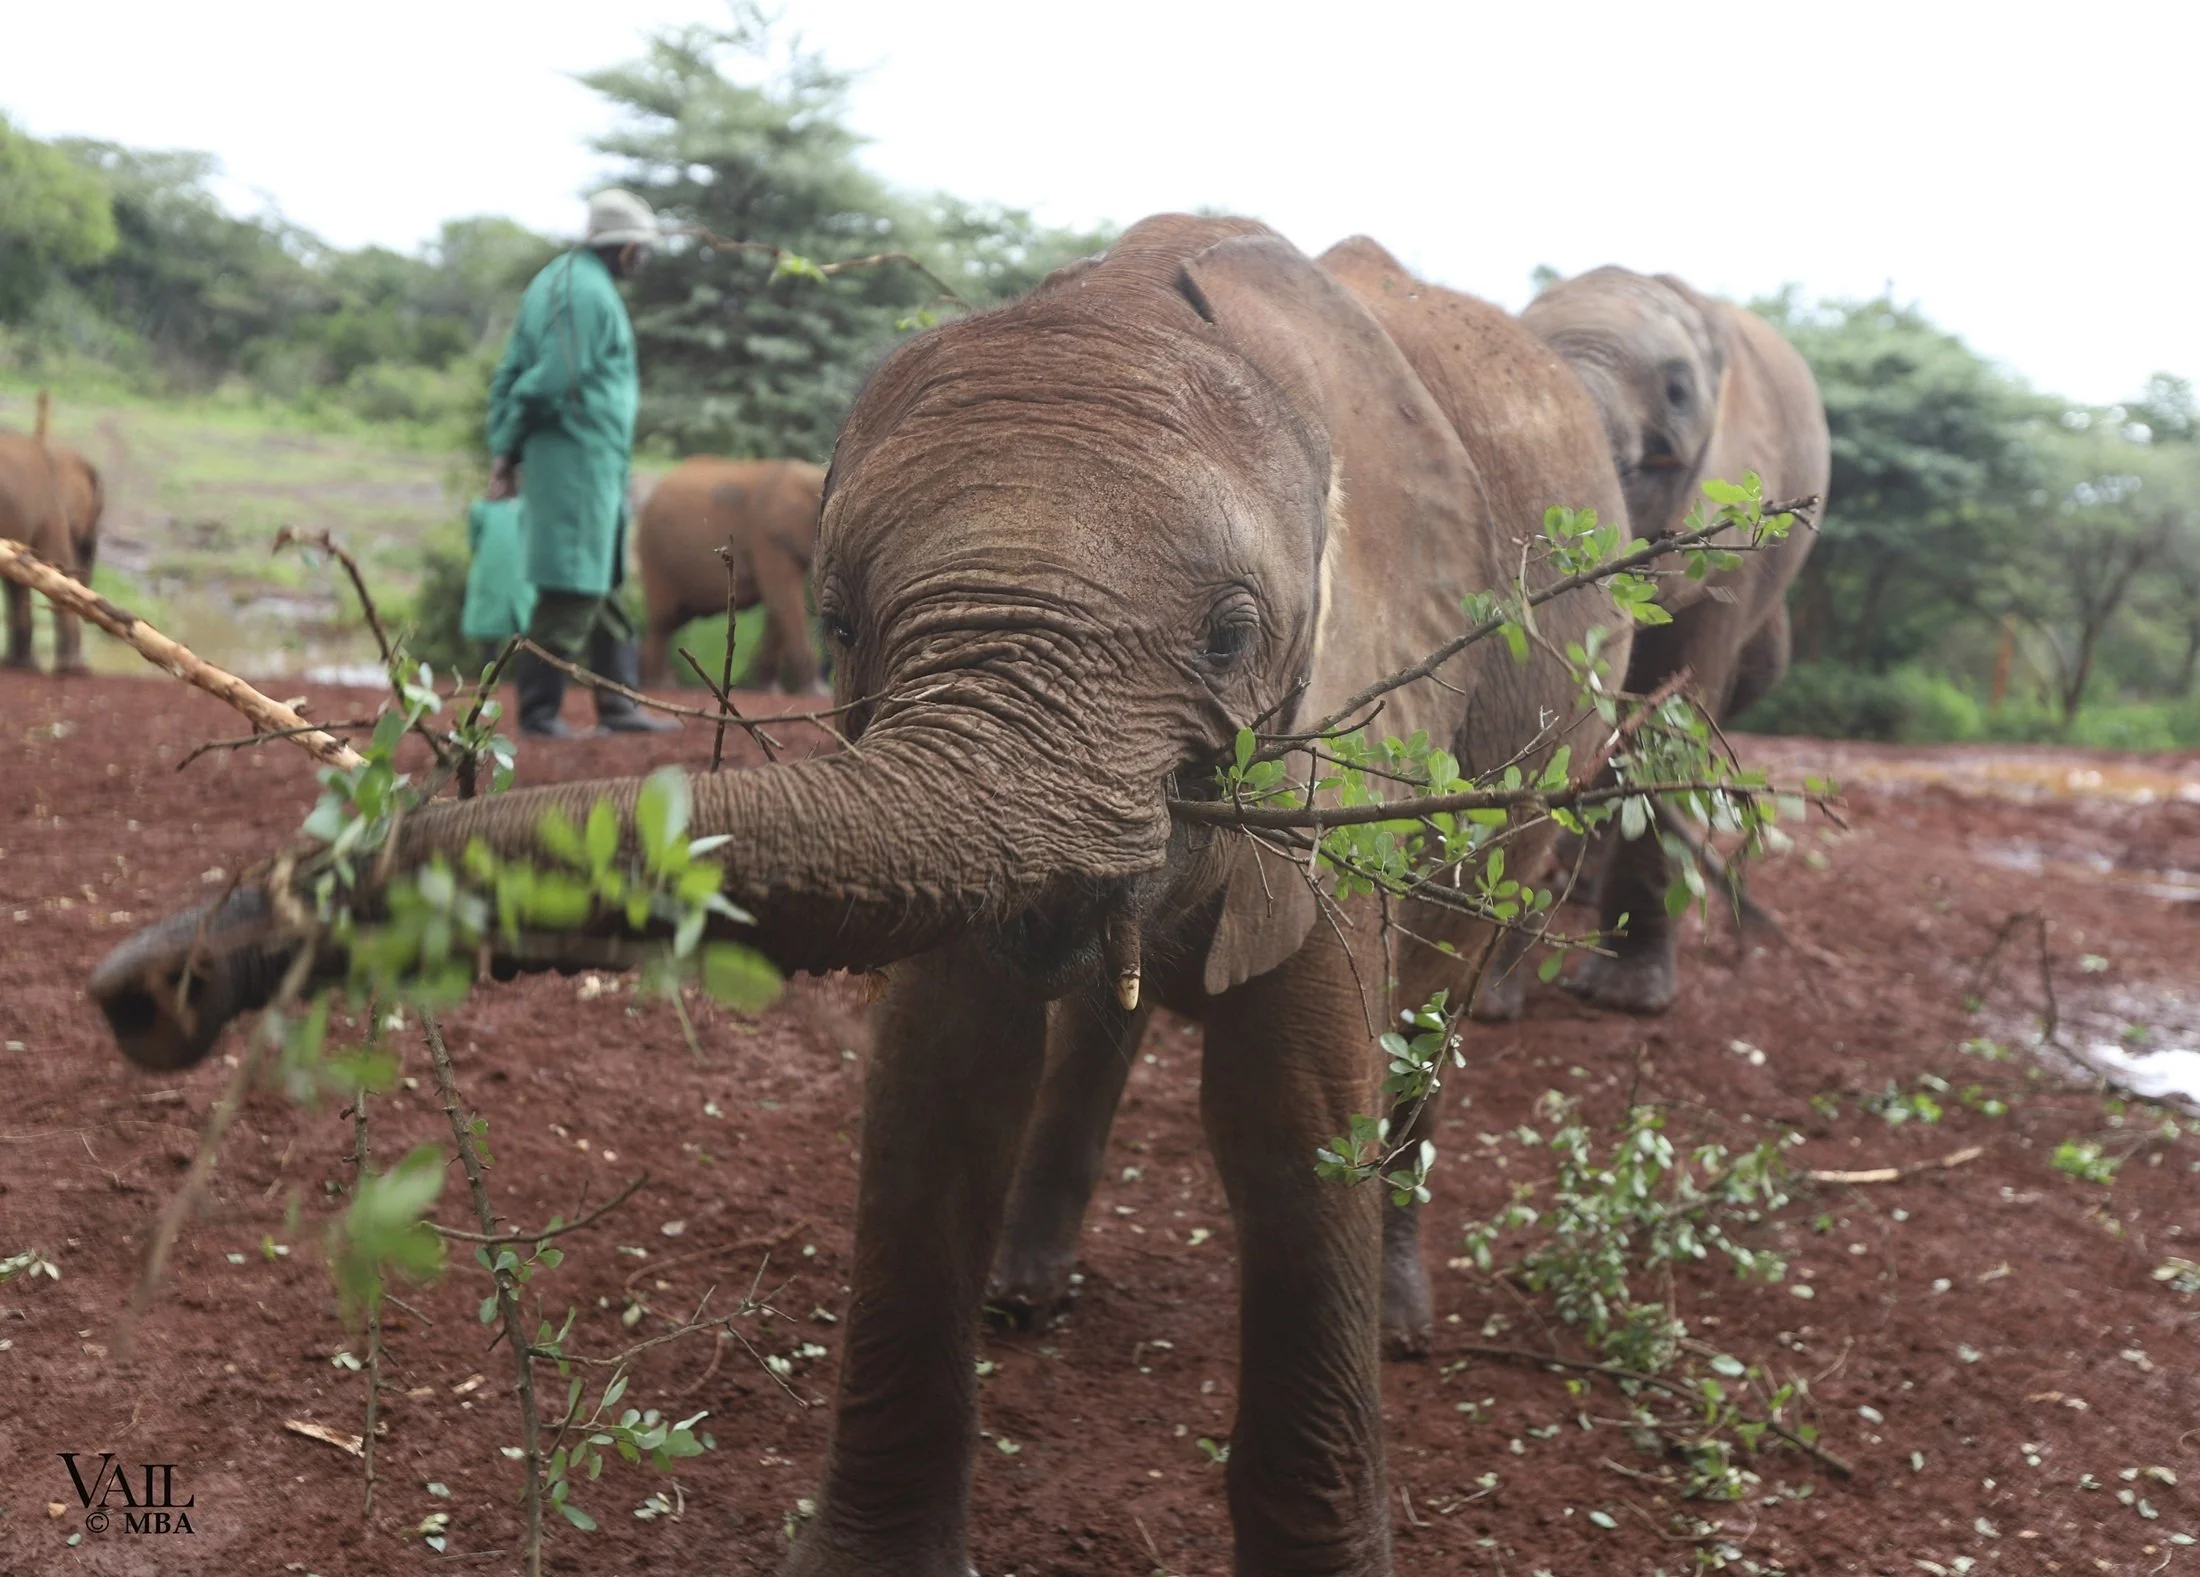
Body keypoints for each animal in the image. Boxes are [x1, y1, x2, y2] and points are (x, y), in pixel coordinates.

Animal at [2, 402, 105, 674]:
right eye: (98, 510)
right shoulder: (50, 507)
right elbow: (55, 566)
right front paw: (72, 670)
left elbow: (19, 576)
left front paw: (20, 666)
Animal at [634, 455, 826, 692]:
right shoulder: (765, 535)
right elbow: (783, 599)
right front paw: (818, 692)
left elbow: (779, 607)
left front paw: (768, 689)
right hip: (653, 551)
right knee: (664, 618)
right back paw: (661, 685)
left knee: (673, 619)